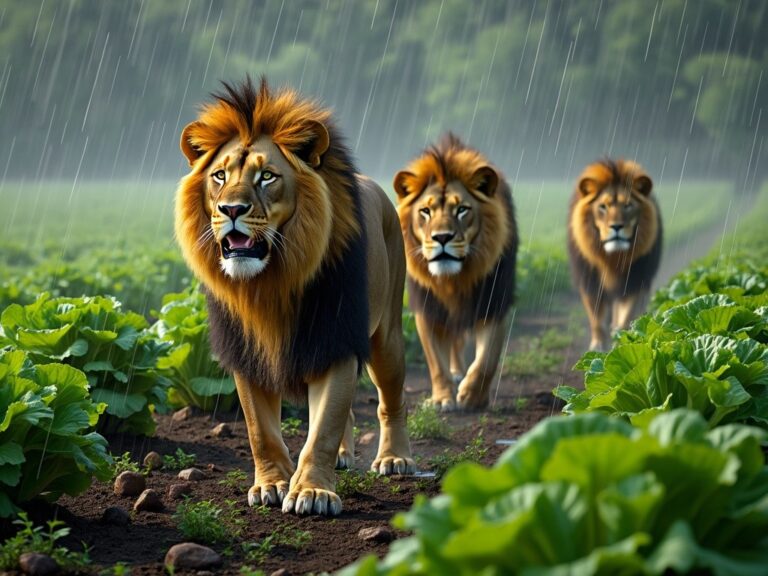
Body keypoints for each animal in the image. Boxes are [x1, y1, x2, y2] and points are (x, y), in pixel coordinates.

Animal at [175, 77, 414, 516]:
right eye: (219, 175)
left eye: (267, 176)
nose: (230, 209)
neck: (271, 282)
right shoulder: (247, 350)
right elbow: (260, 431)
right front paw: (272, 484)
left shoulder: (337, 337)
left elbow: (323, 428)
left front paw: (313, 491)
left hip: (386, 335)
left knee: (390, 399)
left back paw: (395, 458)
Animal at [392, 136, 520, 412]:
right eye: (425, 211)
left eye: (462, 209)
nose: (442, 238)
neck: (453, 281)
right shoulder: (427, 306)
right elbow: (435, 361)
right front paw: (442, 398)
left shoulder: (494, 300)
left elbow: (487, 358)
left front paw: (472, 397)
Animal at [568, 156, 664, 352]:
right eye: (603, 206)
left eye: (627, 206)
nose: (617, 226)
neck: (612, 258)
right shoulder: (590, 282)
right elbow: (597, 319)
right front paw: (597, 347)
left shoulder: (634, 282)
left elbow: (626, 318)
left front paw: (622, 342)